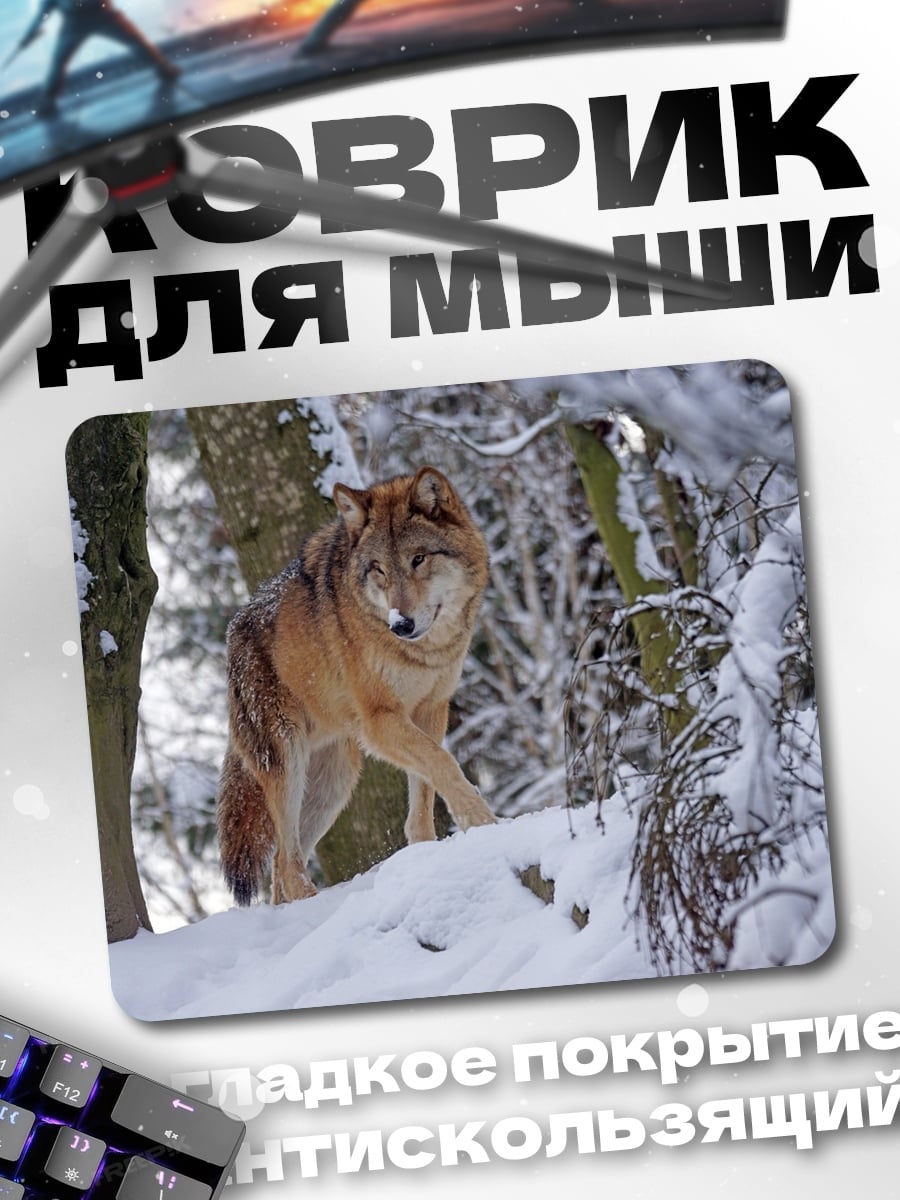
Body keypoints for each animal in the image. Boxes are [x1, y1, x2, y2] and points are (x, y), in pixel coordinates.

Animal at [217, 465, 496, 905]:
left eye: (418, 559)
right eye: (378, 568)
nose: (401, 624)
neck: (425, 651)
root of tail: (231, 635)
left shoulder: (431, 710)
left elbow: (425, 788)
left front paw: (426, 852)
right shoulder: (380, 721)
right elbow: (444, 764)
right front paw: (484, 822)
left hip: (334, 782)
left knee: (281, 866)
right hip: (288, 760)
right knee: (285, 862)